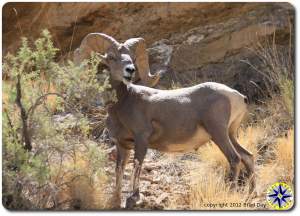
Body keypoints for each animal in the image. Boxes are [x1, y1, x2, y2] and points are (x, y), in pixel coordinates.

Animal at [74, 33, 254, 208]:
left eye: (132, 58)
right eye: (111, 57)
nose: (130, 70)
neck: (122, 103)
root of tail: (237, 96)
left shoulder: (141, 139)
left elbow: (137, 165)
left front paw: (133, 198)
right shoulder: (122, 145)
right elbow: (119, 170)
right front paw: (116, 199)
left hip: (218, 133)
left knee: (235, 158)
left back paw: (232, 193)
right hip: (230, 134)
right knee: (248, 156)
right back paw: (251, 194)